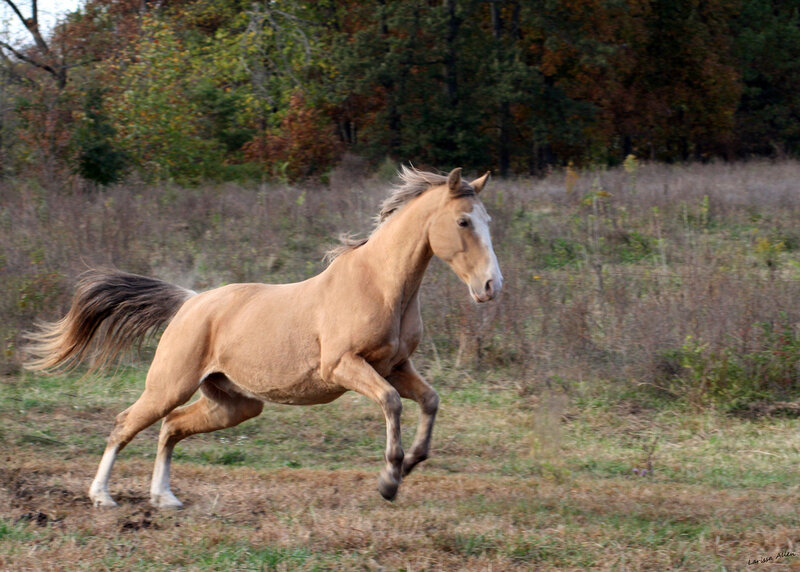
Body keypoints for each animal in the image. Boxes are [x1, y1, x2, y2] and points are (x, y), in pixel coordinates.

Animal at [24, 166, 503, 508]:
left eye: (488, 220)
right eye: (463, 221)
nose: (491, 286)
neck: (381, 286)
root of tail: (190, 302)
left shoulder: (397, 366)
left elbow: (429, 400)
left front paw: (412, 464)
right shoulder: (344, 366)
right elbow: (390, 402)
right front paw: (389, 479)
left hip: (234, 403)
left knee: (172, 427)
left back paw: (165, 498)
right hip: (169, 386)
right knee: (126, 424)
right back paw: (102, 497)